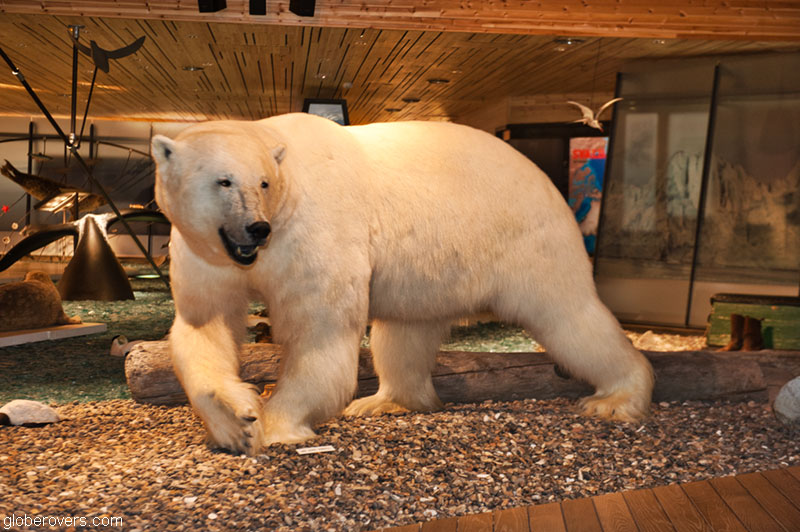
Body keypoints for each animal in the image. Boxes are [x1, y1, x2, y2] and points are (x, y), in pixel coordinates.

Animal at [150, 113, 654, 455]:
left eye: (264, 183)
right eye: (223, 181)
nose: (257, 228)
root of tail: (548, 183)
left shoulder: (316, 232)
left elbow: (321, 332)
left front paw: (274, 424)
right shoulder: (202, 253)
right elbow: (204, 324)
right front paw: (235, 419)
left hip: (531, 241)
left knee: (569, 316)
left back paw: (618, 397)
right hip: (431, 273)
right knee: (404, 333)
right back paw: (385, 402)